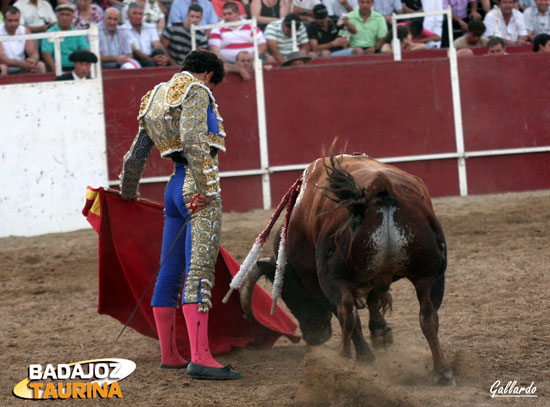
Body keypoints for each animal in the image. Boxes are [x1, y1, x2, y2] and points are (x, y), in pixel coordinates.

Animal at [237, 153, 452, 386]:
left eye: (290, 294)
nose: (315, 337)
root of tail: (379, 186)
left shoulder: (318, 283)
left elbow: (348, 312)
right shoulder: (377, 276)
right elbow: (374, 300)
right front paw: (381, 332)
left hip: (333, 278)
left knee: (347, 312)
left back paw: (349, 360)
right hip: (430, 274)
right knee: (428, 315)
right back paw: (442, 371)